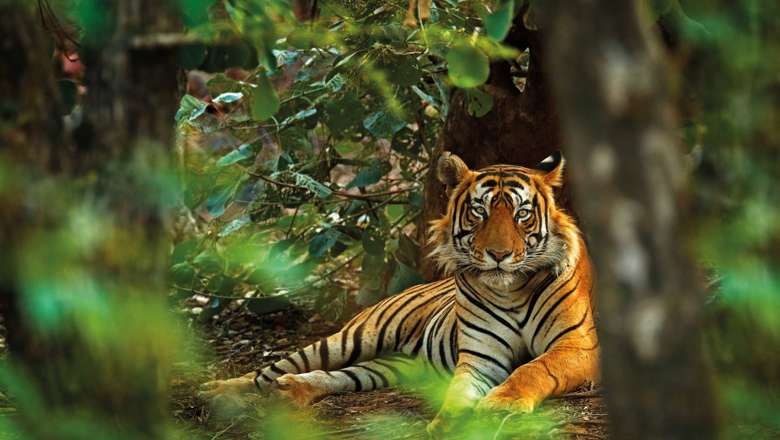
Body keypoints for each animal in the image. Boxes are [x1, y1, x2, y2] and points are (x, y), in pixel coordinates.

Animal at [200, 152, 596, 436]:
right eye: (479, 212)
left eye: (522, 214)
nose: (498, 254)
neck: (511, 290)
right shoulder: (480, 357)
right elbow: (459, 391)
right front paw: (448, 422)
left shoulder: (578, 345)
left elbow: (534, 367)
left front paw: (502, 404)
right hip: (353, 338)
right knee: (270, 370)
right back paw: (218, 390)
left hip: (393, 367)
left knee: (340, 376)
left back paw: (291, 391)